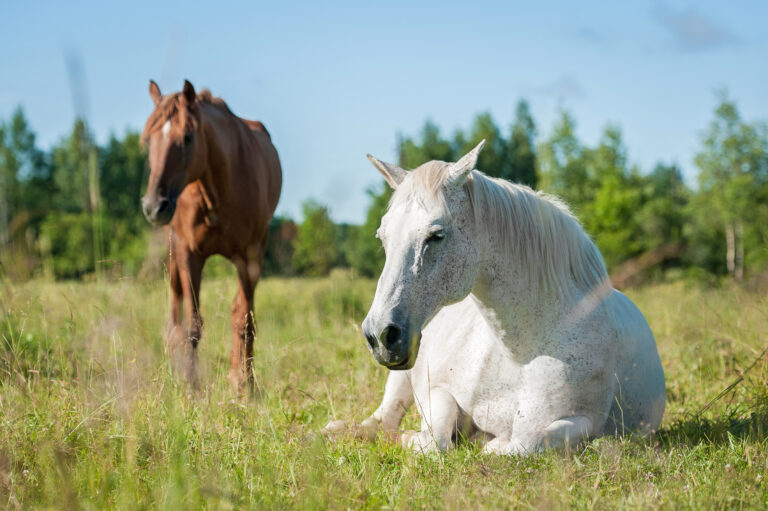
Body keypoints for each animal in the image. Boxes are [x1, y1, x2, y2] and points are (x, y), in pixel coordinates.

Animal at [140, 80, 282, 392]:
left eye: (187, 137)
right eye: (147, 140)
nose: (153, 206)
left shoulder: (250, 255)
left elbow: (244, 319)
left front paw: (247, 385)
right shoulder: (188, 254)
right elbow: (192, 324)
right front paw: (191, 387)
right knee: (175, 313)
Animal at [324, 141, 665, 454]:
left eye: (436, 235)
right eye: (383, 237)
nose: (380, 334)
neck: (521, 352)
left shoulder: (586, 422)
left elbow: (527, 443)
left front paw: (485, 441)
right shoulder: (440, 391)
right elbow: (436, 439)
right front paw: (415, 437)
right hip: (402, 374)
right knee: (383, 419)